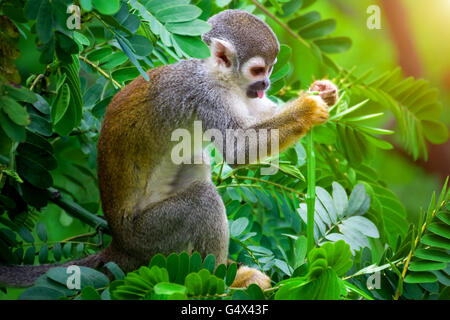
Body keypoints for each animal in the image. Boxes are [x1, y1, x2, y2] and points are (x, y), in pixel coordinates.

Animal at [0, 10, 338, 290]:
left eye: (270, 70)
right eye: (258, 71)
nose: (266, 84)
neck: (214, 74)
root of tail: (119, 243)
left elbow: (254, 117)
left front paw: (324, 93)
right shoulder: (208, 96)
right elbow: (237, 150)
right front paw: (308, 109)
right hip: (151, 235)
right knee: (202, 199)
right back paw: (220, 278)